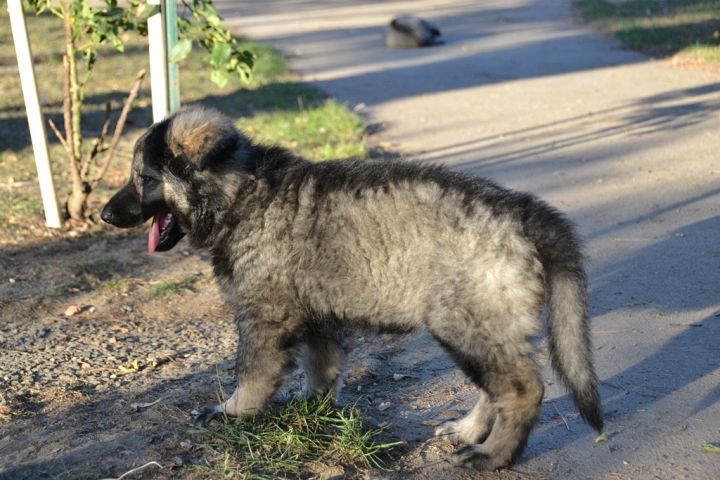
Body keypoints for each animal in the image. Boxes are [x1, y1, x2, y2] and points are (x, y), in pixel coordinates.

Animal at [101, 106, 603, 470]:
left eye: (144, 178)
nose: (104, 215)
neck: (240, 192)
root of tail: (520, 209)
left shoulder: (263, 316)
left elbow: (252, 371)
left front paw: (234, 411)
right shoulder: (314, 314)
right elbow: (320, 366)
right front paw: (311, 408)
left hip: (467, 321)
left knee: (520, 390)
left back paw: (492, 456)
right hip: (478, 325)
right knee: (496, 386)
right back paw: (468, 432)